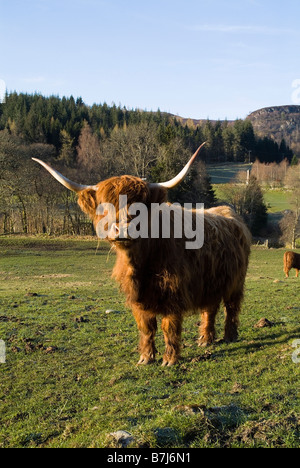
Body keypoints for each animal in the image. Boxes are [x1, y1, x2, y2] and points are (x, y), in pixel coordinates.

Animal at [32, 145, 252, 366]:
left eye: (140, 206)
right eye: (104, 205)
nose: (122, 229)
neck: (140, 265)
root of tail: (228, 212)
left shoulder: (174, 291)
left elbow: (169, 326)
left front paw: (169, 359)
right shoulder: (137, 298)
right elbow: (146, 327)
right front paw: (145, 358)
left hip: (236, 281)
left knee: (231, 307)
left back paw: (229, 336)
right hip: (211, 281)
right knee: (210, 307)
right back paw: (205, 339)